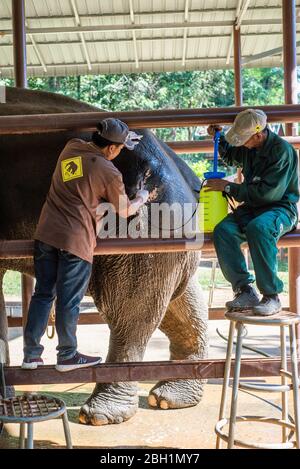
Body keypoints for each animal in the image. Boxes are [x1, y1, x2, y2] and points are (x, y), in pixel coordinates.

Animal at [0, 87, 209, 424]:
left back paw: (98, 414)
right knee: (180, 300)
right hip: (170, 238)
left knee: (130, 307)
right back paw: (171, 396)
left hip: (141, 233)